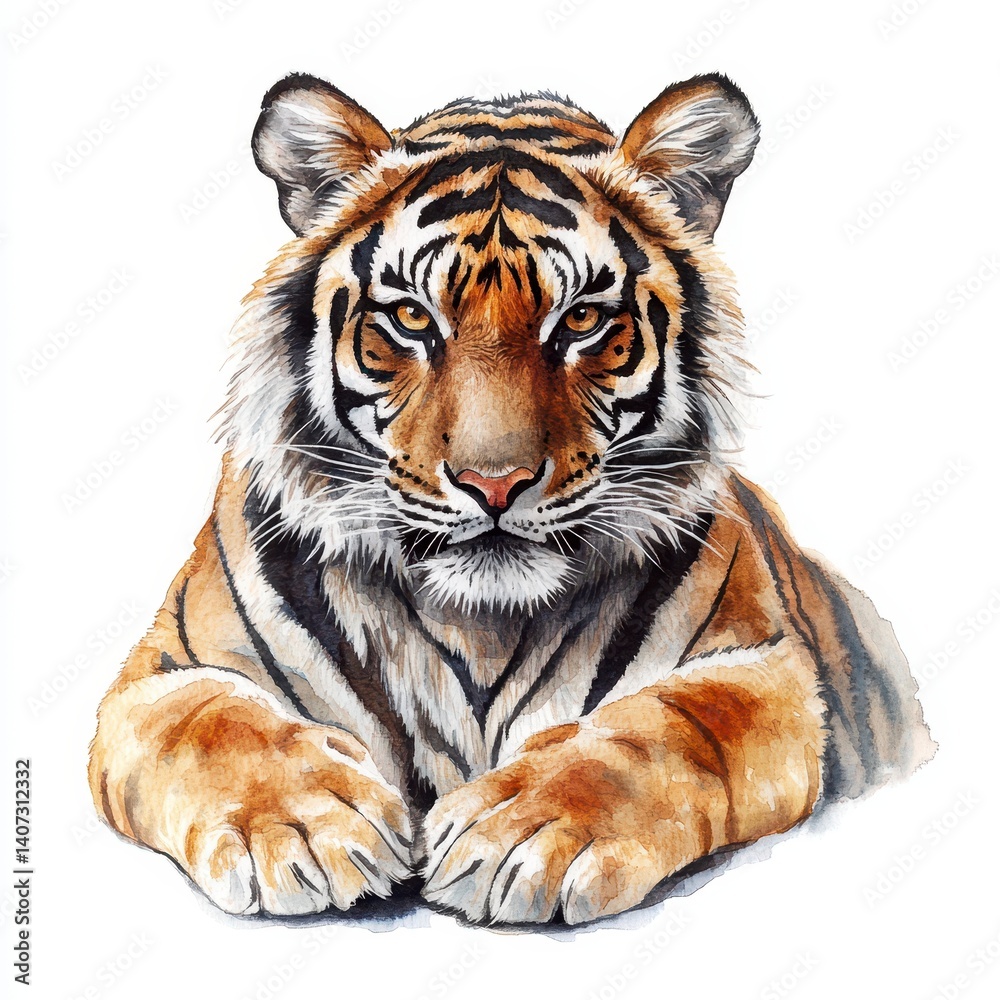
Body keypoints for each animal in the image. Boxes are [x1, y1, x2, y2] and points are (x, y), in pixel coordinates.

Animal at [88, 71, 934, 926]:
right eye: (411, 317)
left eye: (582, 319)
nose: (495, 483)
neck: (478, 629)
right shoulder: (163, 671)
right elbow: (214, 724)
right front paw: (305, 827)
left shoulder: (762, 666)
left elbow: (663, 729)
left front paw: (524, 832)